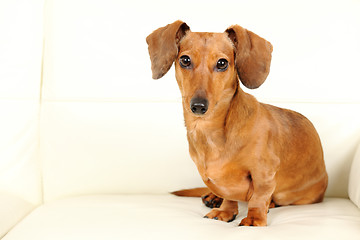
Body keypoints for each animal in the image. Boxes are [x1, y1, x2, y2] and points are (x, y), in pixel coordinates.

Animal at [145, 21, 328, 227]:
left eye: (222, 63)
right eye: (185, 60)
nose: (198, 106)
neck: (208, 131)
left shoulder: (265, 173)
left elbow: (259, 197)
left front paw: (254, 218)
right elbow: (228, 195)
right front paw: (225, 210)